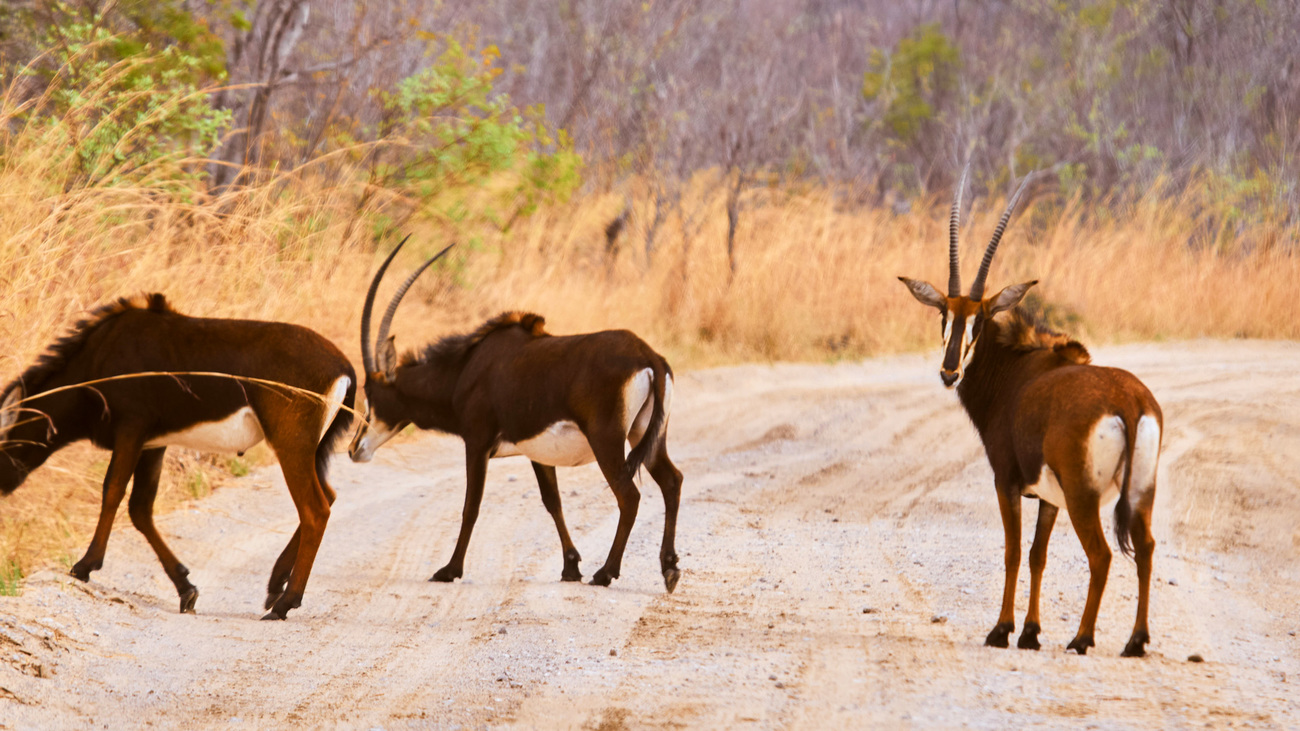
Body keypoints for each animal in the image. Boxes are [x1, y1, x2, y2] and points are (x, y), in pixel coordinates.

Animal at [0, 292, 356, 616]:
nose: (2, 489)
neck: (96, 358)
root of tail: (345, 368)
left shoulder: (131, 430)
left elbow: (113, 491)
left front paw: (85, 565)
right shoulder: (153, 443)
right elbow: (140, 508)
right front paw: (186, 588)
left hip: (291, 444)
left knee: (315, 510)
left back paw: (284, 603)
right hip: (310, 450)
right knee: (329, 495)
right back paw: (275, 586)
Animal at [351, 239, 686, 593]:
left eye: (371, 394)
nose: (354, 448)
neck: (463, 371)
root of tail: (647, 355)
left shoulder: (477, 442)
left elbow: (471, 506)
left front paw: (449, 569)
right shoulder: (537, 452)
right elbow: (552, 501)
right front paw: (570, 567)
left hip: (606, 440)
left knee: (629, 496)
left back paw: (606, 573)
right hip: (645, 435)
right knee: (671, 480)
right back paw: (669, 569)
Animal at [899, 169, 1164, 655]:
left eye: (980, 320)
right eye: (944, 314)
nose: (949, 372)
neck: (1015, 370)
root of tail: (1129, 401)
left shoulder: (1007, 481)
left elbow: (1013, 551)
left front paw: (1002, 630)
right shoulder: (1047, 497)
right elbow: (1039, 556)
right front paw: (1030, 632)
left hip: (1083, 495)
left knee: (1101, 554)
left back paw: (1082, 638)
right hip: (1139, 490)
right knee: (1147, 547)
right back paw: (1135, 641)